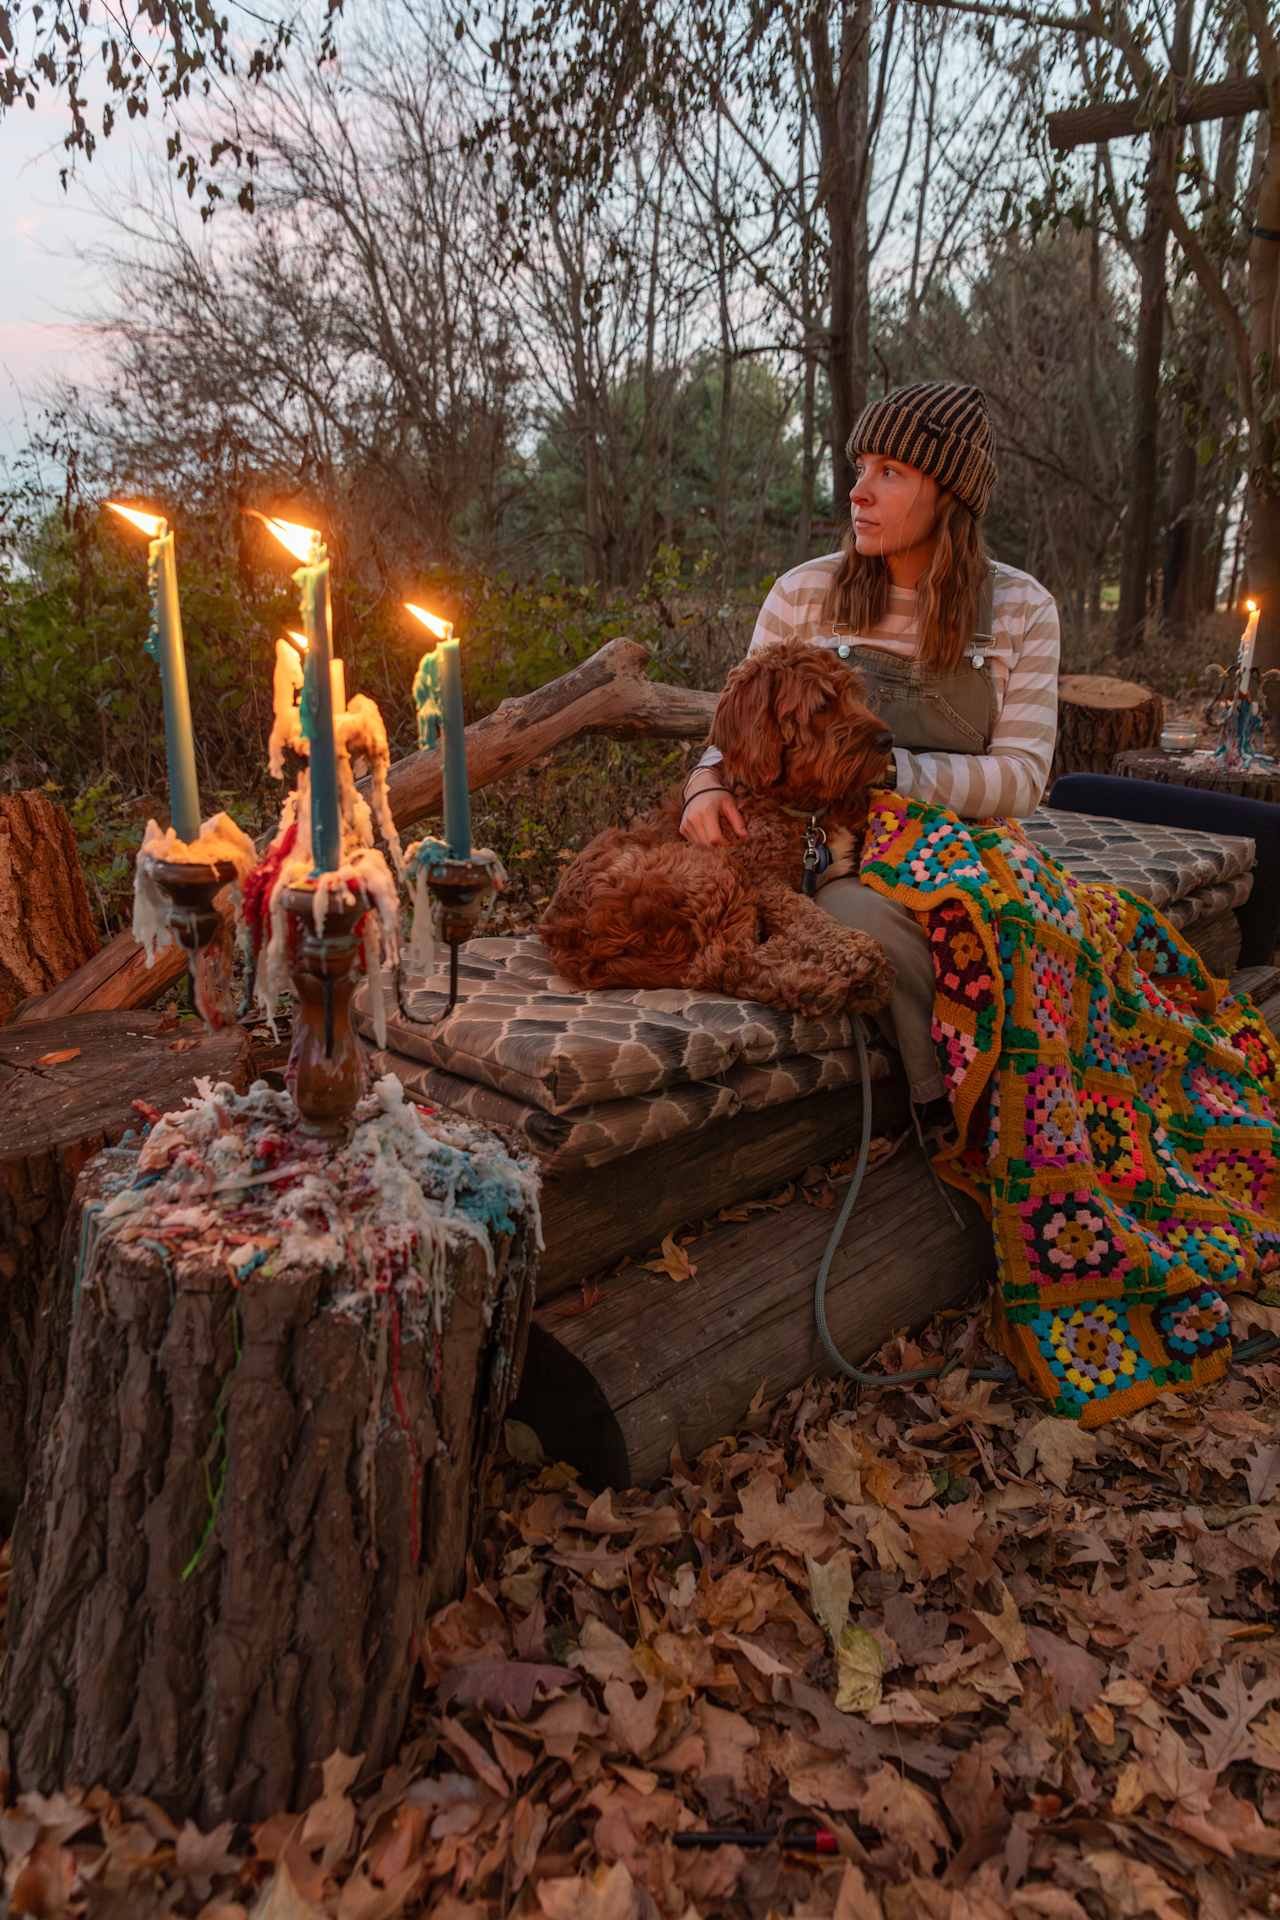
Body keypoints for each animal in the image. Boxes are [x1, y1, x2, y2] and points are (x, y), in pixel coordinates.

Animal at [545, 641, 898, 1021]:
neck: (800, 808)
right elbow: (807, 915)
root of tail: (574, 946)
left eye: (854, 694)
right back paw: (820, 984)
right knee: (724, 960)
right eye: (822, 704)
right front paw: (856, 951)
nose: (887, 739)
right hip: (714, 871)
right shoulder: (762, 879)